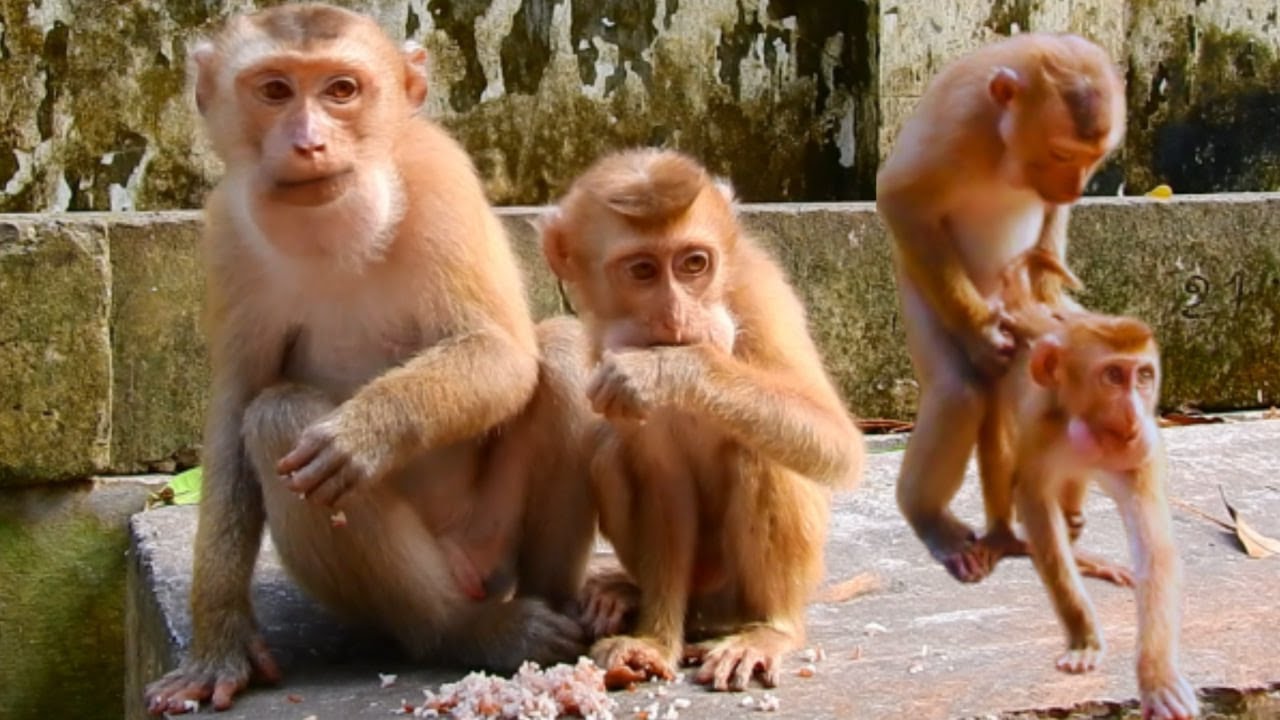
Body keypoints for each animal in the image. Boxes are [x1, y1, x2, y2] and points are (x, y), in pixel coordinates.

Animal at [143, 5, 595, 714]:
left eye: (341, 90)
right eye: (275, 90)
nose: (309, 144)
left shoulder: (441, 177)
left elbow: (500, 353)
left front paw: (366, 432)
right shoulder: (228, 235)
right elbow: (235, 411)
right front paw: (218, 641)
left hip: (492, 535)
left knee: (564, 351)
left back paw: (539, 622)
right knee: (277, 418)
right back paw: (462, 629)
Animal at [540, 148, 865, 691]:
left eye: (694, 263)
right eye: (642, 270)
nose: (677, 318)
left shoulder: (760, 288)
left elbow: (835, 441)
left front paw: (665, 370)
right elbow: (663, 483)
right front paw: (653, 643)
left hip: (743, 586)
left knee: (759, 451)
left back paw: (770, 630)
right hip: (703, 582)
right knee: (609, 450)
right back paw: (627, 592)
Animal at [875, 32, 1127, 582]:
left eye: (1094, 157)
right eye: (1060, 151)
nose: (1074, 187)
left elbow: (1051, 220)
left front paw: (1053, 296)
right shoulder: (960, 124)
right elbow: (902, 197)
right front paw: (981, 336)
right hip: (921, 288)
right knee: (959, 393)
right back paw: (933, 520)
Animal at [989, 304, 1198, 720]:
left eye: (1144, 376)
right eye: (1113, 376)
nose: (1132, 415)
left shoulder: (1146, 451)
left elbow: (1155, 551)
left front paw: (1158, 677)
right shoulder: (1041, 433)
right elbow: (1036, 507)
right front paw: (1083, 637)